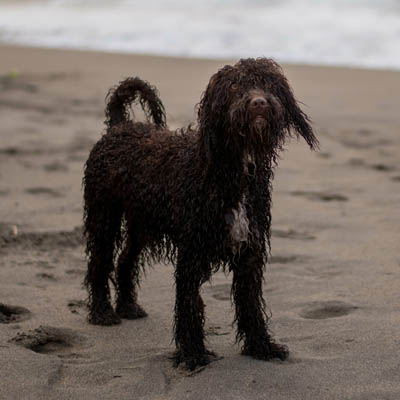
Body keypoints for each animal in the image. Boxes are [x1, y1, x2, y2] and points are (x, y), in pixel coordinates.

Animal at [82, 57, 318, 370]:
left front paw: (261, 346)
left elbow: (251, 304)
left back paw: (129, 306)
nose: (259, 103)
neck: (230, 169)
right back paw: (102, 312)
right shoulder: (192, 252)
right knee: (99, 262)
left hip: (142, 223)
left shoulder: (250, 251)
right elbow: (189, 304)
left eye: (268, 84)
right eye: (235, 87)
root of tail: (120, 126)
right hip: (104, 215)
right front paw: (192, 353)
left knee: (125, 261)